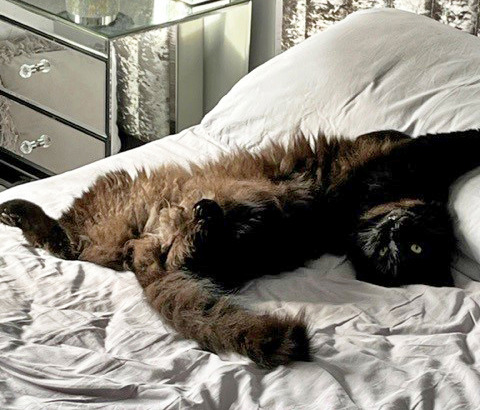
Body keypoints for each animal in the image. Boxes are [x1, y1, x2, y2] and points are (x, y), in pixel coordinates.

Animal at [0, 130, 478, 366]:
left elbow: (450, 140)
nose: (396, 235)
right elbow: (435, 139)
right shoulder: (397, 157)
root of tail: (137, 250)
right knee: (62, 240)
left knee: (62, 242)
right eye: (416, 246)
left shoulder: (400, 161)